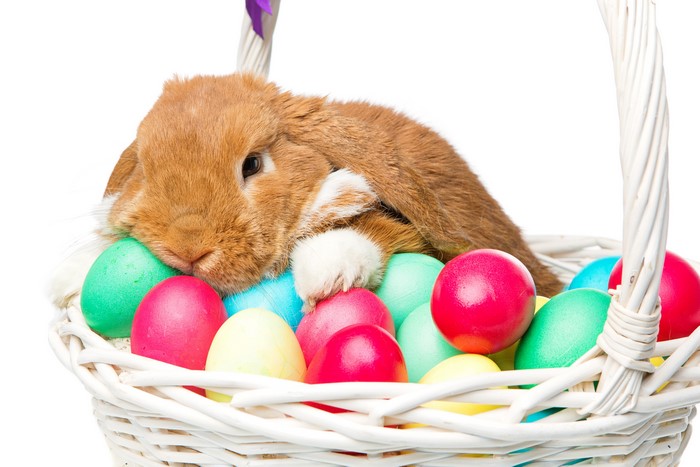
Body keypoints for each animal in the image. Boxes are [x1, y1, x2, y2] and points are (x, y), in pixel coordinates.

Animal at [51, 73, 562, 310]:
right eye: (145, 166)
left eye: (252, 164)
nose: (187, 249)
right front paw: (70, 278)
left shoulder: (404, 231)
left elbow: (371, 228)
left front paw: (325, 273)